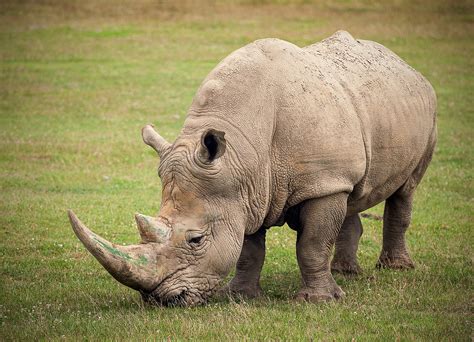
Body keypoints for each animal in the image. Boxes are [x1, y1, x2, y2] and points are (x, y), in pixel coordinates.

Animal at [67, 31, 436, 304]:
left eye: (196, 240)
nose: (161, 300)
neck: (241, 151)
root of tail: (403, 63)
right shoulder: (244, 189)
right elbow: (248, 249)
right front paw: (241, 296)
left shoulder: (315, 183)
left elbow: (312, 244)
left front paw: (318, 301)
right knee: (353, 192)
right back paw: (347, 273)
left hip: (425, 108)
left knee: (406, 189)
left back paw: (395, 269)